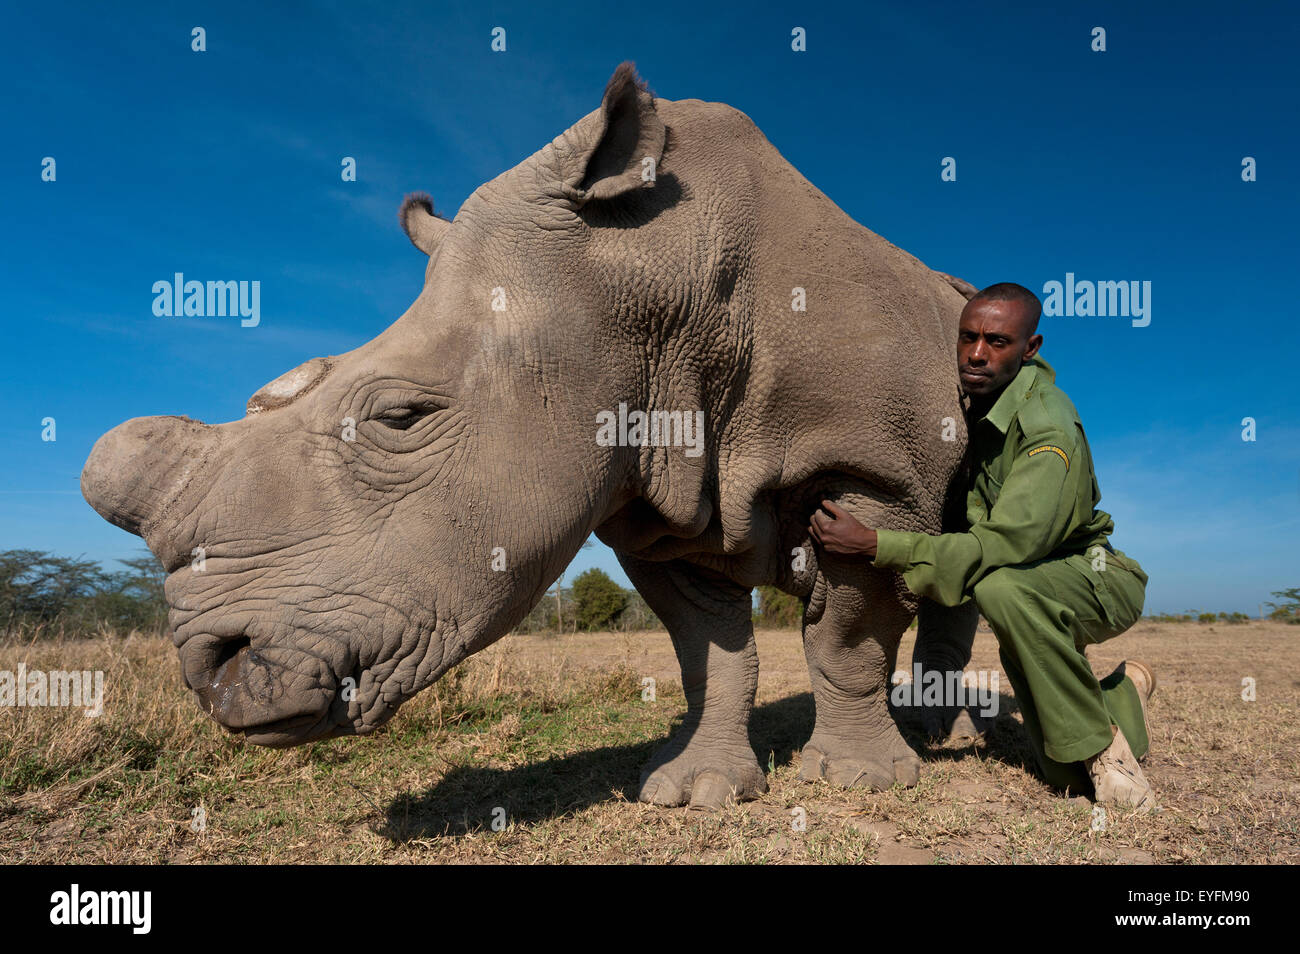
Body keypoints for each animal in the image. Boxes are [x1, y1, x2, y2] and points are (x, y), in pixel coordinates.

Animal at [82, 62, 980, 810]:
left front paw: (864, 780)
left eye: (401, 418)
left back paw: (940, 737)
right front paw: (694, 792)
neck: (650, 278)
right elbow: (710, 654)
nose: (214, 673)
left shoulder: (879, 474)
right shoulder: (654, 506)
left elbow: (845, 639)